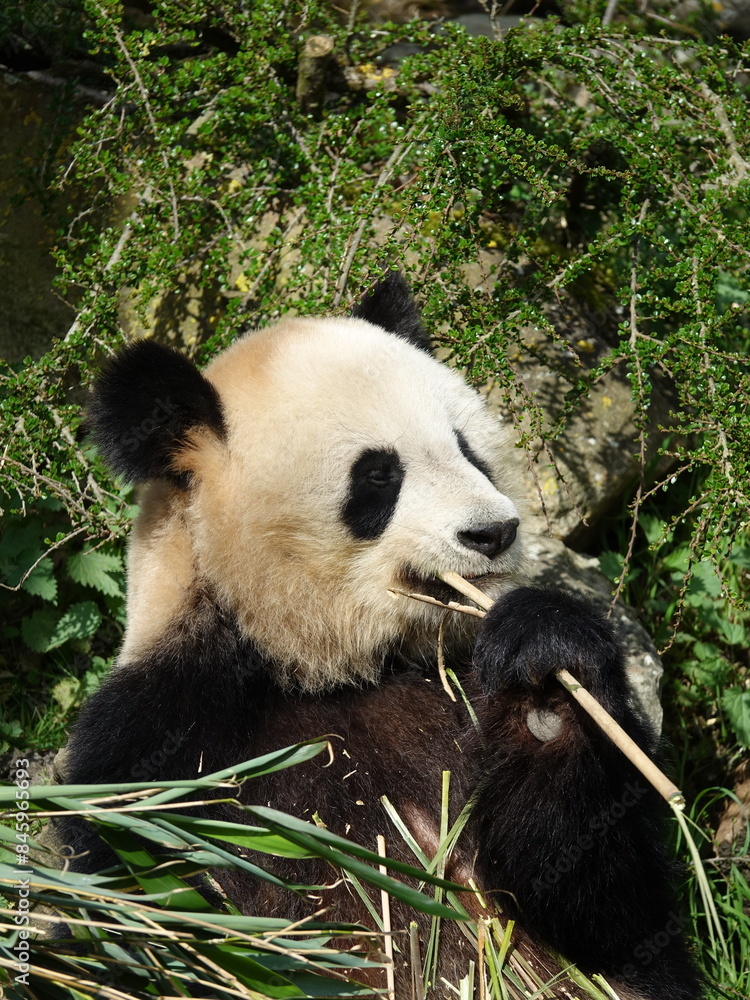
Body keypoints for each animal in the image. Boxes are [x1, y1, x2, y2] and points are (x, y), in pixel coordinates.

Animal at [59, 273, 699, 1000]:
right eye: (377, 476)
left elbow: (604, 910)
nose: (493, 532)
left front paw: (547, 676)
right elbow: (142, 913)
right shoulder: (156, 741)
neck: (326, 664)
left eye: (468, 449)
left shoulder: (455, 691)